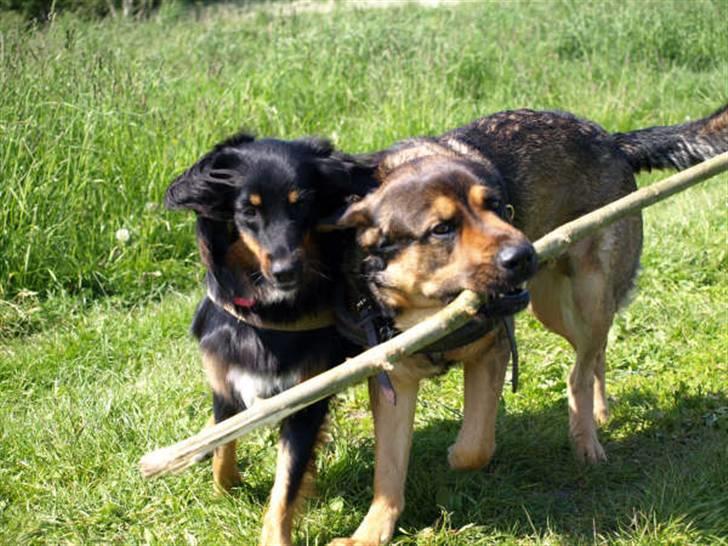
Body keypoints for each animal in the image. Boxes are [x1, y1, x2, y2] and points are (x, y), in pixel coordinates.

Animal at [164, 133, 370, 544]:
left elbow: (285, 485)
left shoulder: (306, 399)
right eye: (249, 210)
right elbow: (223, 450)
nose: (286, 271)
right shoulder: (225, 378)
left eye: (301, 204)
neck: (269, 313)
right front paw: (226, 488)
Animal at [332, 104, 728, 540]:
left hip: (588, 295)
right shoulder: (394, 383)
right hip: (553, 307)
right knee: (595, 355)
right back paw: (600, 413)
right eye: (442, 229)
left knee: (579, 371)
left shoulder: (495, 350)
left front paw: (454, 457)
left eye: (496, 205)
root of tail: (610, 139)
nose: (523, 255)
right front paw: (369, 534)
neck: (433, 311)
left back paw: (586, 440)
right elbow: (388, 472)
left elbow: (475, 445)